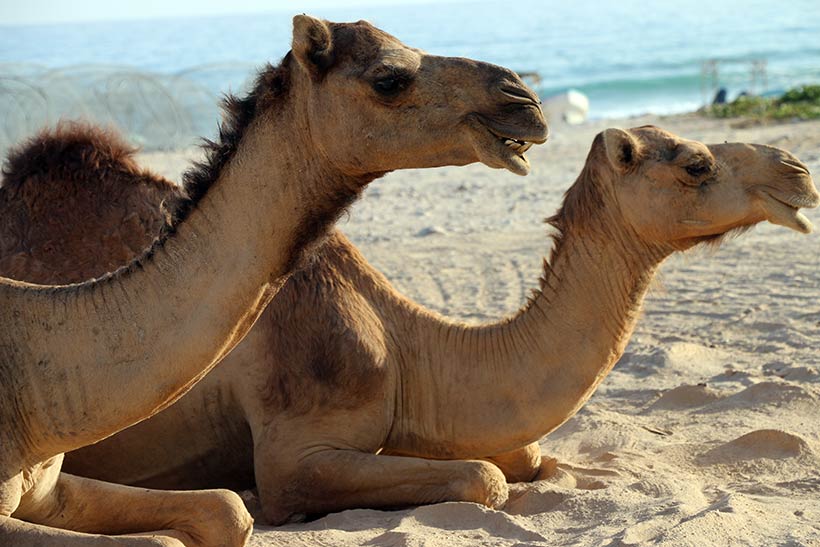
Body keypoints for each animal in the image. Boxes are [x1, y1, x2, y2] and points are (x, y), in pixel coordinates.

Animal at [12, 125, 820, 528]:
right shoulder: (295, 448)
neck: (410, 345)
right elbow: (484, 474)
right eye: (695, 164)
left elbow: (522, 453)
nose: (797, 170)